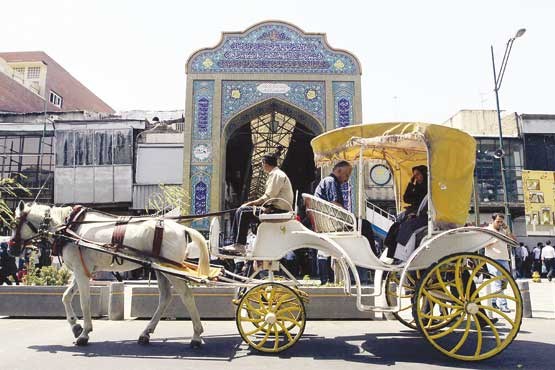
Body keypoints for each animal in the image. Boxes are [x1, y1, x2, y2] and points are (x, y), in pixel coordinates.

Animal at [8, 199, 211, 346]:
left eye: (16, 222)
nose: (11, 248)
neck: (67, 227)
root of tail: (183, 228)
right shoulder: (82, 269)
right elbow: (66, 296)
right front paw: (75, 326)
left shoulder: (81, 272)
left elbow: (85, 303)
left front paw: (84, 333)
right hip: (161, 270)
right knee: (165, 298)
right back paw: (146, 333)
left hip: (172, 271)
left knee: (186, 295)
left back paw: (196, 335)